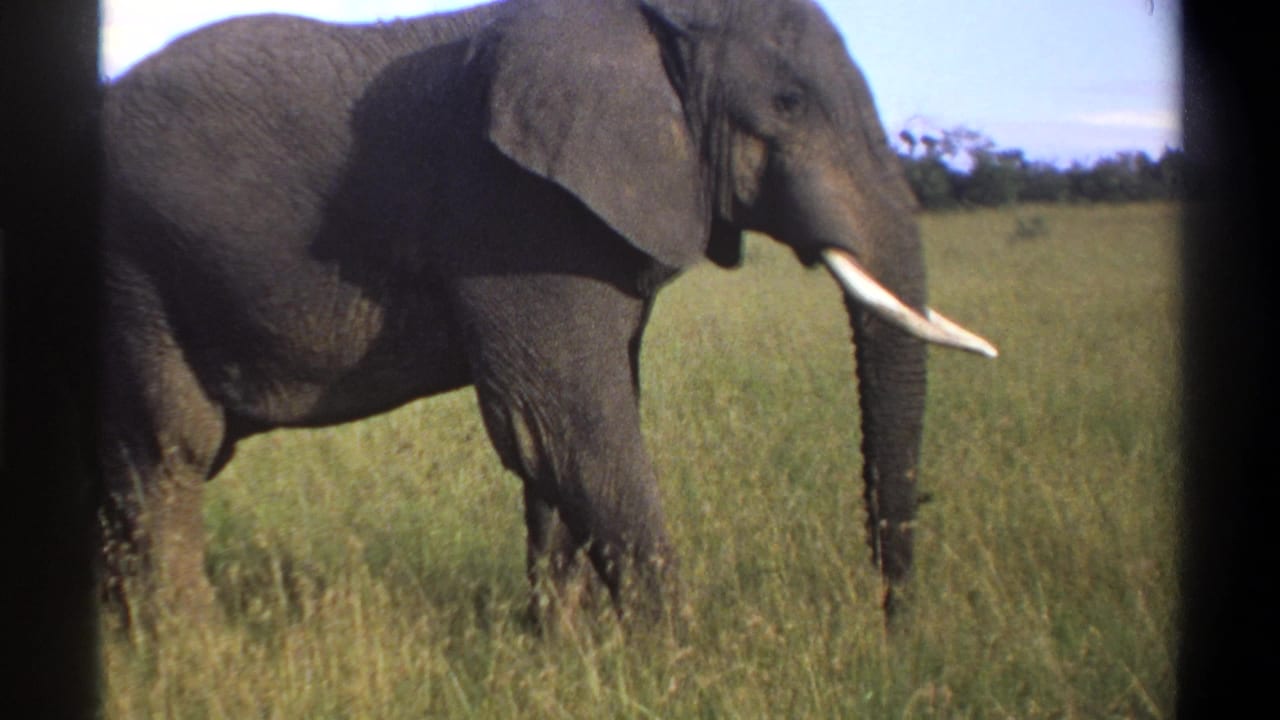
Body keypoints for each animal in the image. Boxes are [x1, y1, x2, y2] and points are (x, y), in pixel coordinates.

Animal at [100, 0, 996, 626]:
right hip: (133, 267)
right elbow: (567, 426)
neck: (639, 24)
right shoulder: (518, 210)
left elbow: (560, 437)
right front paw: (684, 662)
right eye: (787, 102)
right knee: (172, 450)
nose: (891, 627)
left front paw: (564, 656)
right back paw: (192, 652)